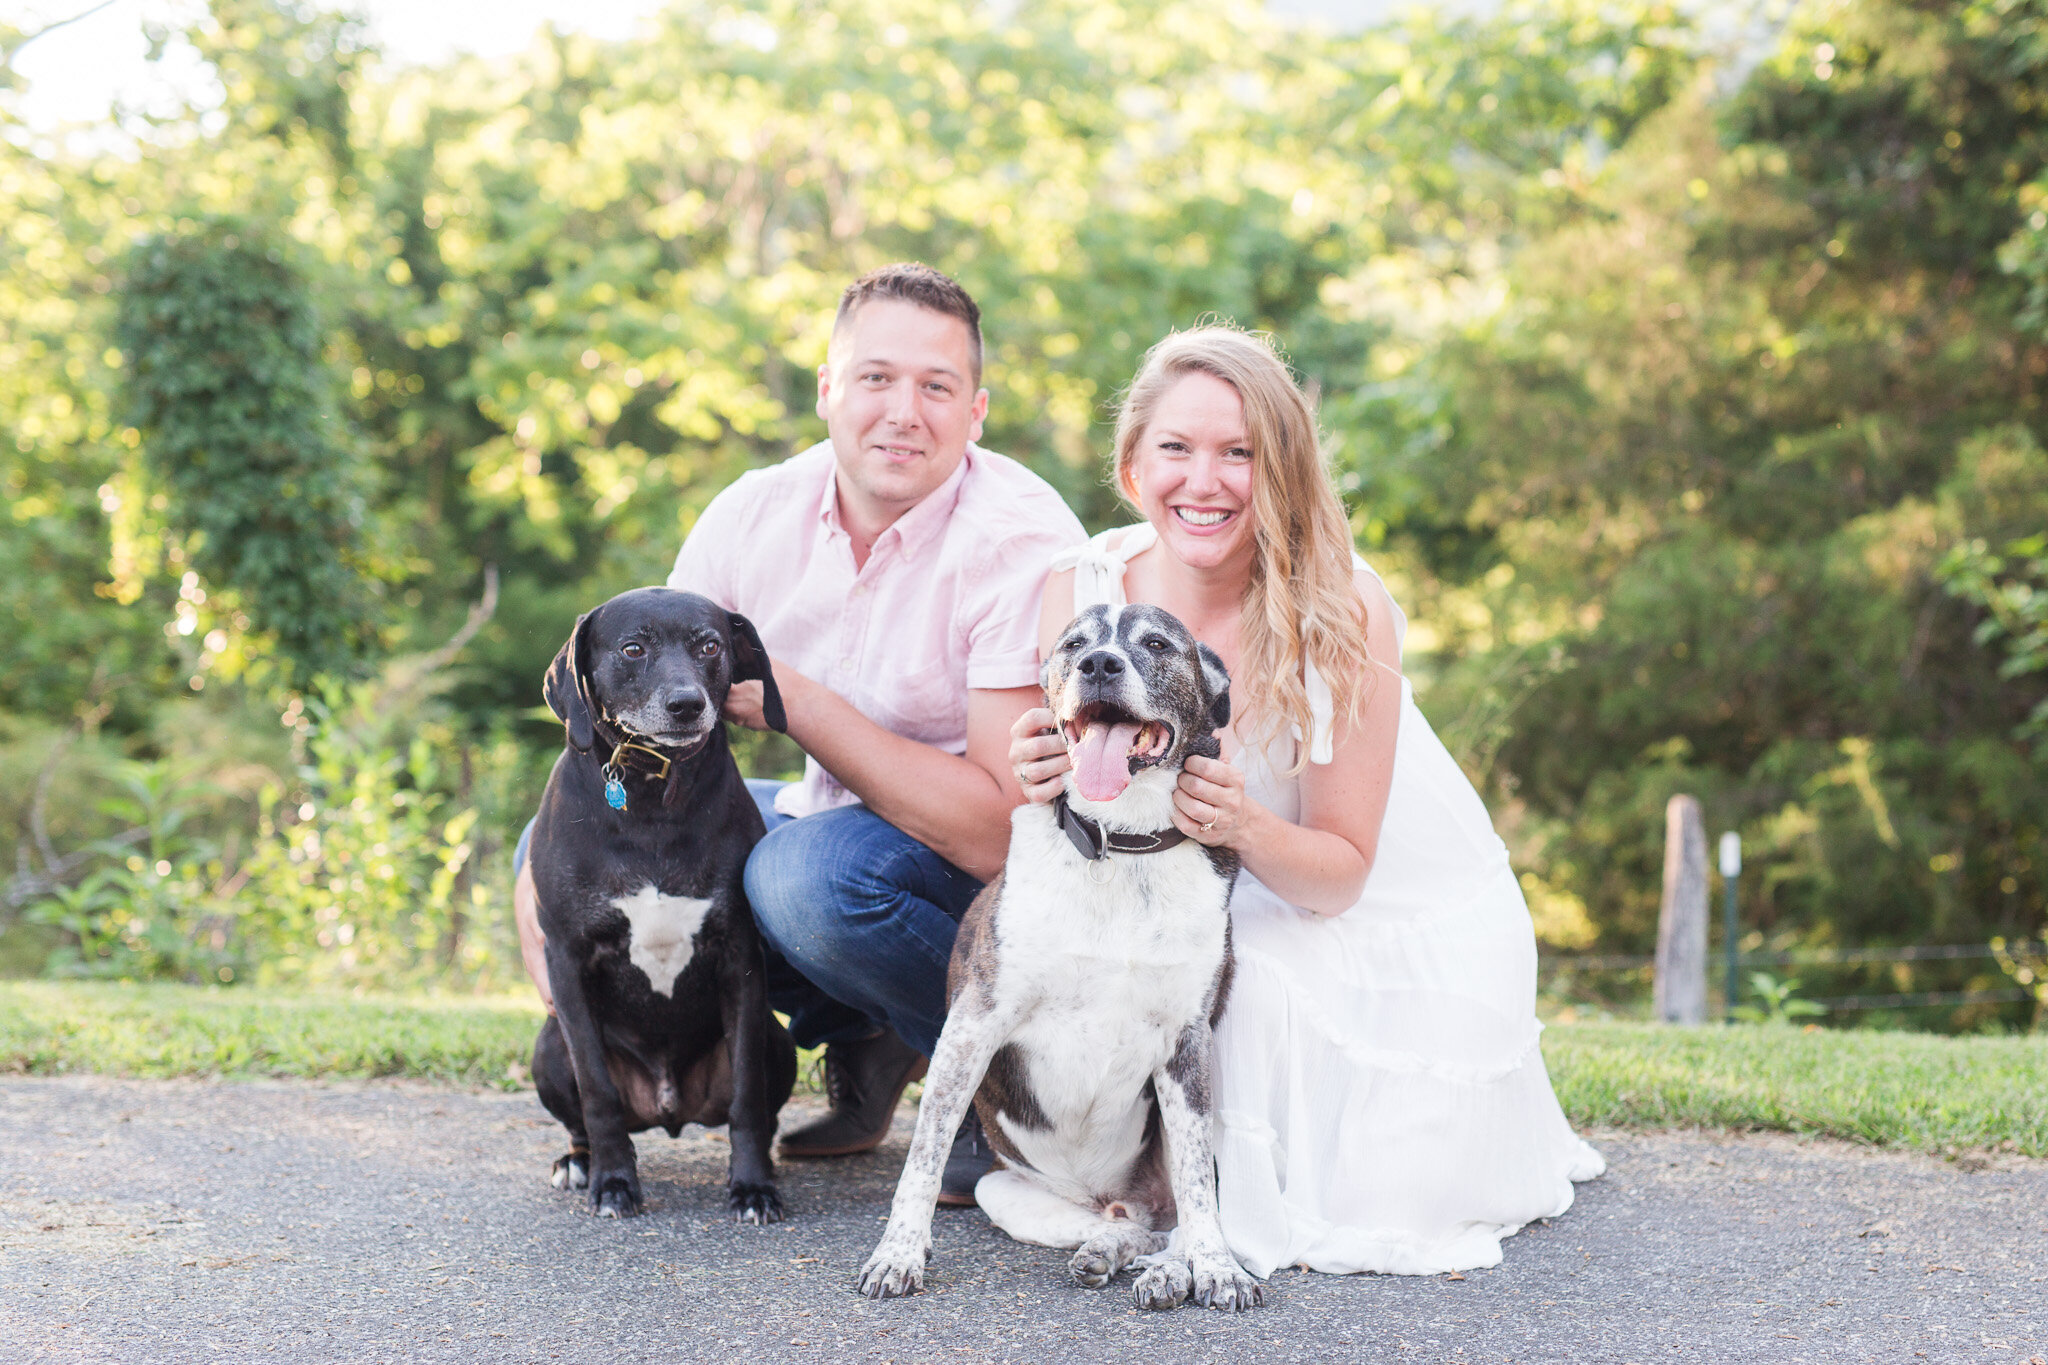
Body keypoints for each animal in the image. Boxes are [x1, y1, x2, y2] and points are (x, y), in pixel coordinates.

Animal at [532, 589, 794, 1227]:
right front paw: (613, 1183)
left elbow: (748, 1096)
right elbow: (597, 1092)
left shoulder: (739, 959)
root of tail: (668, 1108)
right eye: (633, 649)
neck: (651, 800)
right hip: (548, 1044)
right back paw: (579, 1163)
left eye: (711, 646)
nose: (685, 704)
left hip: (778, 1039)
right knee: (583, 1116)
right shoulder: (566, 962)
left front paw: (753, 1187)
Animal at [851, 605, 1261, 1309]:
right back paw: (1112, 1251)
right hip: (1004, 1190)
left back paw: (1168, 1270)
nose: (1099, 663)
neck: (1123, 844)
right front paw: (898, 1254)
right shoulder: (973, 1025)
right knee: (1129, 1226)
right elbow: (922, 1161)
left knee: (1171, 1221)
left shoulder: (1187, 1043)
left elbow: (1197, 1190)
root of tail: (1119, 1197)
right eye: (1074, 644)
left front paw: (1218, 1269)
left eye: (1157, 643)